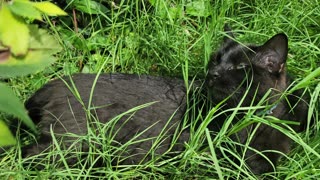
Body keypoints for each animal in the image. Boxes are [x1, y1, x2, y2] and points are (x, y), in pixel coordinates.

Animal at [18, 26, 308, 174]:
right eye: (216, 59)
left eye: (239, 67)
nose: (212, 73)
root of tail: (54, 83)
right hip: (70, 143)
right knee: (29, 156)